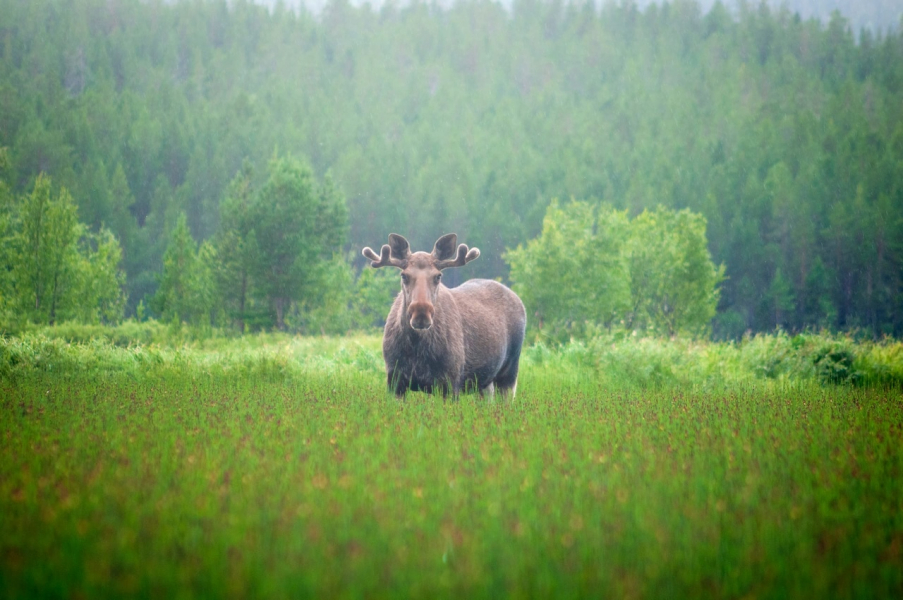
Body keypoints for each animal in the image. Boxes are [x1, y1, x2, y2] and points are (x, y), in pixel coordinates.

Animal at [362, 233, 526, 398]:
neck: (416, 349)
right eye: (404, 275)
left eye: (438, 276)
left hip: (510, 371)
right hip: (485, 382)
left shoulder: (451, 381)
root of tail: (519, 301)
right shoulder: (394, 379)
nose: (421, 313)